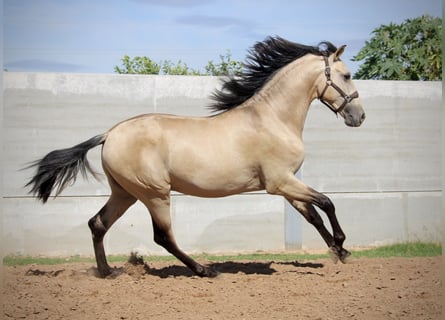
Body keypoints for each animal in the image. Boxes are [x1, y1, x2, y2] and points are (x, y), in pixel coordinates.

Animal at [25, 36, 364, 278]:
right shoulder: (280, 182)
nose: (359, 117)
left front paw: (340, 252)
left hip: (125, 193)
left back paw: (108, 272)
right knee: (162, 236)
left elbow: (313, 215)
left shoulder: (286, 184)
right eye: (347, 75)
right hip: (154, 193)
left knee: (98, 224)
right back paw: (204, 270)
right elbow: (326, 203)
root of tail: (109, 134)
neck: (272, 118)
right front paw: (341, 244)